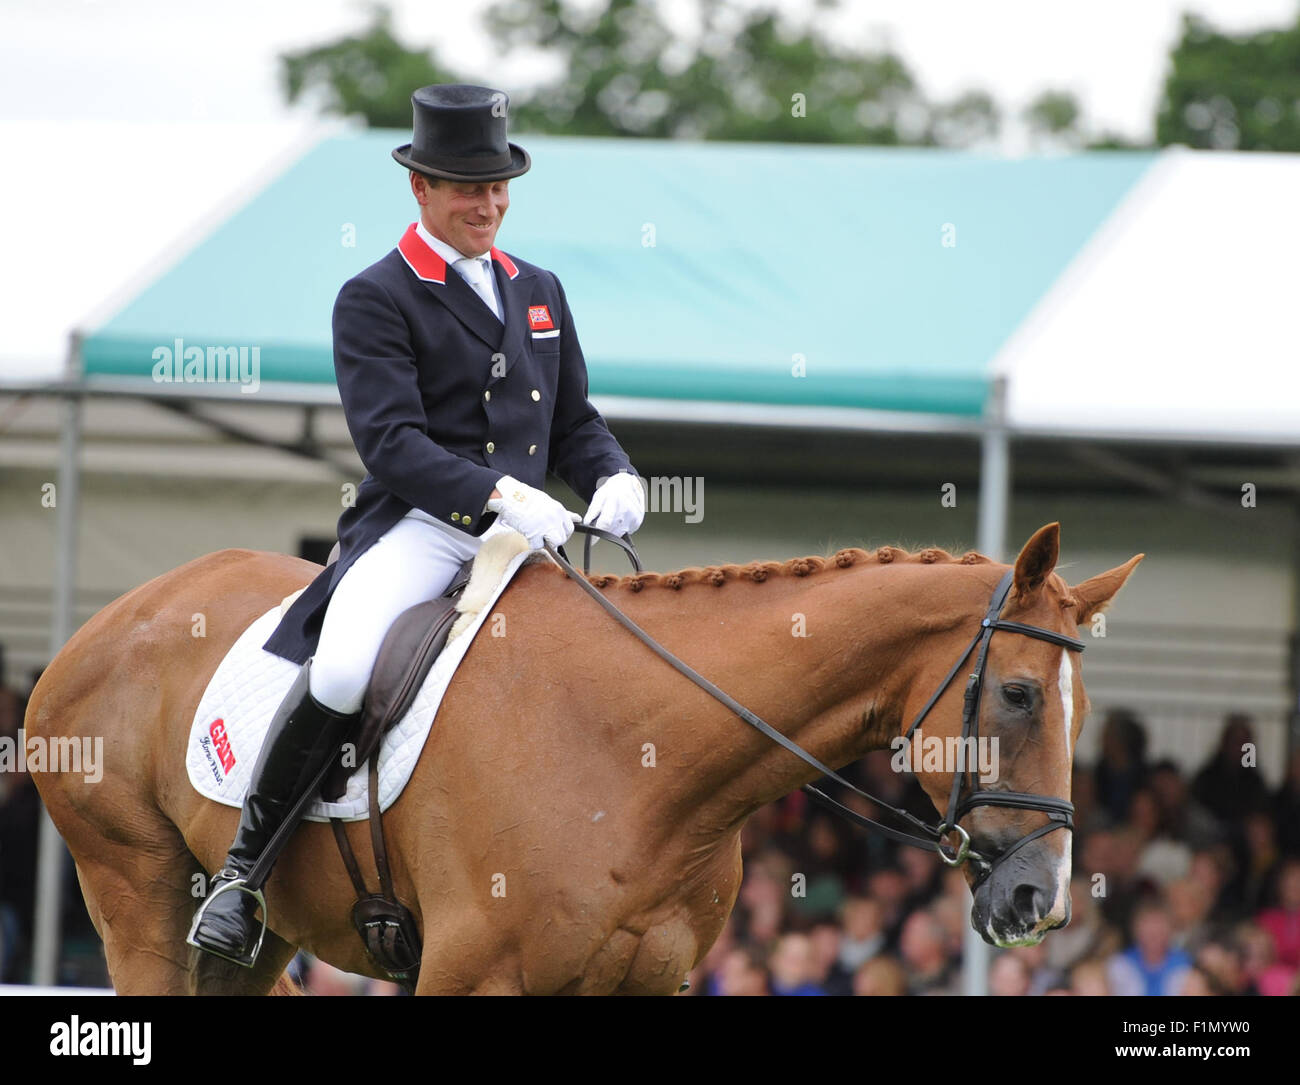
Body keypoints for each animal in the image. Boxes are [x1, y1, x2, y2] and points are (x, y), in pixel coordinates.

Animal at [26, 521, 1140, 994]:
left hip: (257, 939)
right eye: (1018, 693)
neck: (643, 765)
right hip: (137, 888)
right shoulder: (473, 980)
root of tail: (112, 621)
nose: (1040, 898)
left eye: (1078, 710)